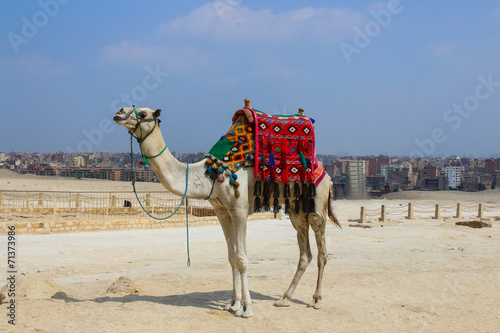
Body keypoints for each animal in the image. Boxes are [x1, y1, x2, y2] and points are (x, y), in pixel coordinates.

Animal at [113, 100, 340, 318]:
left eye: (143, 113)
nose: (119, 112)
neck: (209, 175)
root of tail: (325, 172)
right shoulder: (222, 211)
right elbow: (232, 257)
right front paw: (233, 304)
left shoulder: (239, 210)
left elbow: (242, 259)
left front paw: (246, 309)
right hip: (296, 209)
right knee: (305, 253)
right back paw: (284, 298)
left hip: (317, 202)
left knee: (322, 250)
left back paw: (316, 300)